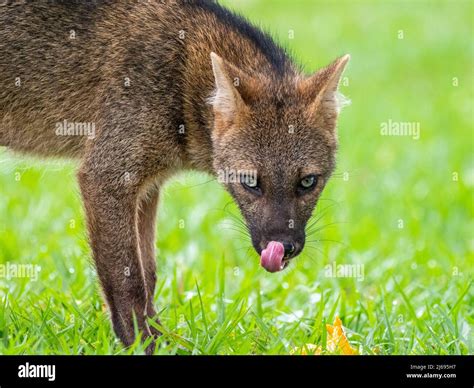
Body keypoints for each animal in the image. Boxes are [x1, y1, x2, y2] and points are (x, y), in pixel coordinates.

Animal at [0, 0, 348, 354]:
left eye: (308, 182)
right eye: (250, 182)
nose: (282, 247)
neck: (181, 68)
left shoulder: (147, 185)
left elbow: (149, 274)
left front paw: (160, 338)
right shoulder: (106, 177)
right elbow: (127, 281)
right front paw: (142, 344)